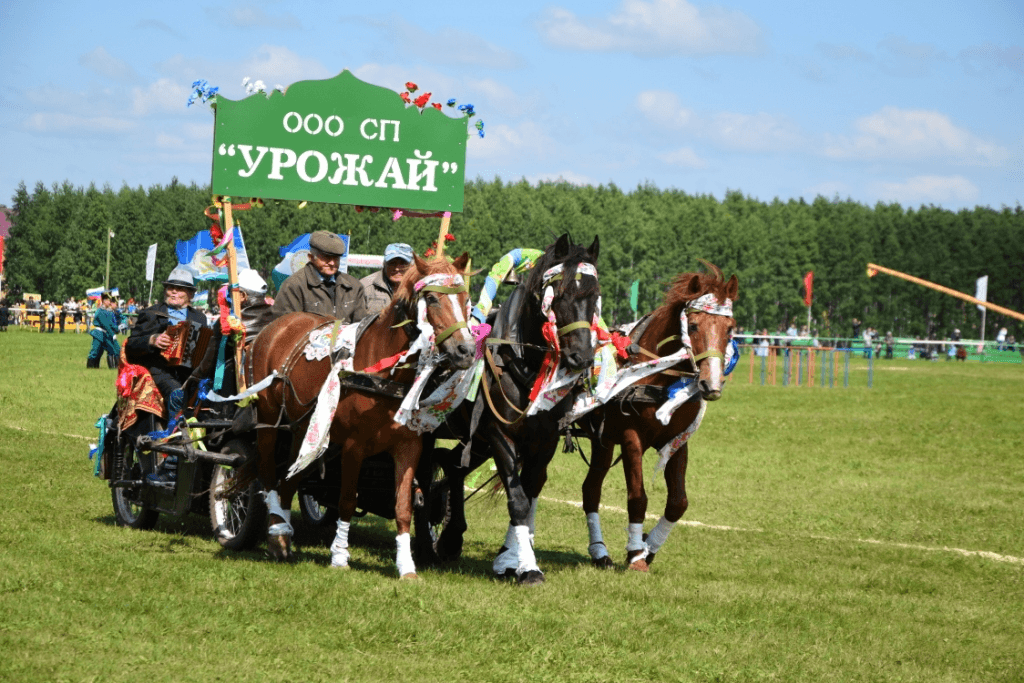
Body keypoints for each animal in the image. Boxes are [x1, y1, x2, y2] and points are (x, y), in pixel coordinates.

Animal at [238, 253, 471, 581]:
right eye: (432, 299)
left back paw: (283, 533)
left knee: (290, 478)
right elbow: (347, 500)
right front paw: (339, 556)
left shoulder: (409, 446)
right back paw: (275, 534)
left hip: (304, 429)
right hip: (270, 422)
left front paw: (407, 567)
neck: (383, 371)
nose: (466, 350)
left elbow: (403, 506)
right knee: (269, 474)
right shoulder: (353, 445)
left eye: (465, 299)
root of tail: (277, 327)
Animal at [423, 232, 598, 585]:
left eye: (595, 295)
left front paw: (509, 559)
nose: (583, 358)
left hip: (477, 443)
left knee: (452, 465)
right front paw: (527, 567)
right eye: (560, 294)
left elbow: (528, 498)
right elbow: (517, 502)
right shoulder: (500, 436)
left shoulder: (543, 442)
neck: (524, 365)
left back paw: (450, 534)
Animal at [577, 262, 737, 573]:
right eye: (693, 325)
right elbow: (638, 497)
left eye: (730, 328)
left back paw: (599, 552)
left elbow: (678, 502)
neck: (657, 376)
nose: (711, 384)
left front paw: (647, 548)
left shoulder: (677, 441)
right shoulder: (631, 438)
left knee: (590, 490)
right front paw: (636, 555)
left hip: (603, 441)